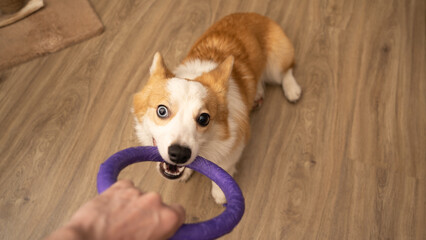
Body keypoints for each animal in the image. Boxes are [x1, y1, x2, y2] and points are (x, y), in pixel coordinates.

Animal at [131, 13, 302, 203]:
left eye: (203, 118)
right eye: (162, 111)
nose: (179, 154)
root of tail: (254, 14)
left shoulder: (234, 146)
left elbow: (225, 166)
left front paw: (220, 192)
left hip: (276, 65)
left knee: (286, 71)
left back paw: (292, 89)